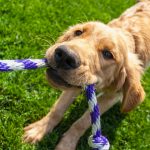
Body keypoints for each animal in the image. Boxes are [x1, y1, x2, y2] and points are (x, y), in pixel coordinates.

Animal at [23, 0, 150, 149]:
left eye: (108, 54)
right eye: (78, 32)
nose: (65, 56)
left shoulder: (112, 96)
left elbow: (82, 122)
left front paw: (67, 144)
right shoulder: (74, 84)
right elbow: (58, 108)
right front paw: (39, 129)